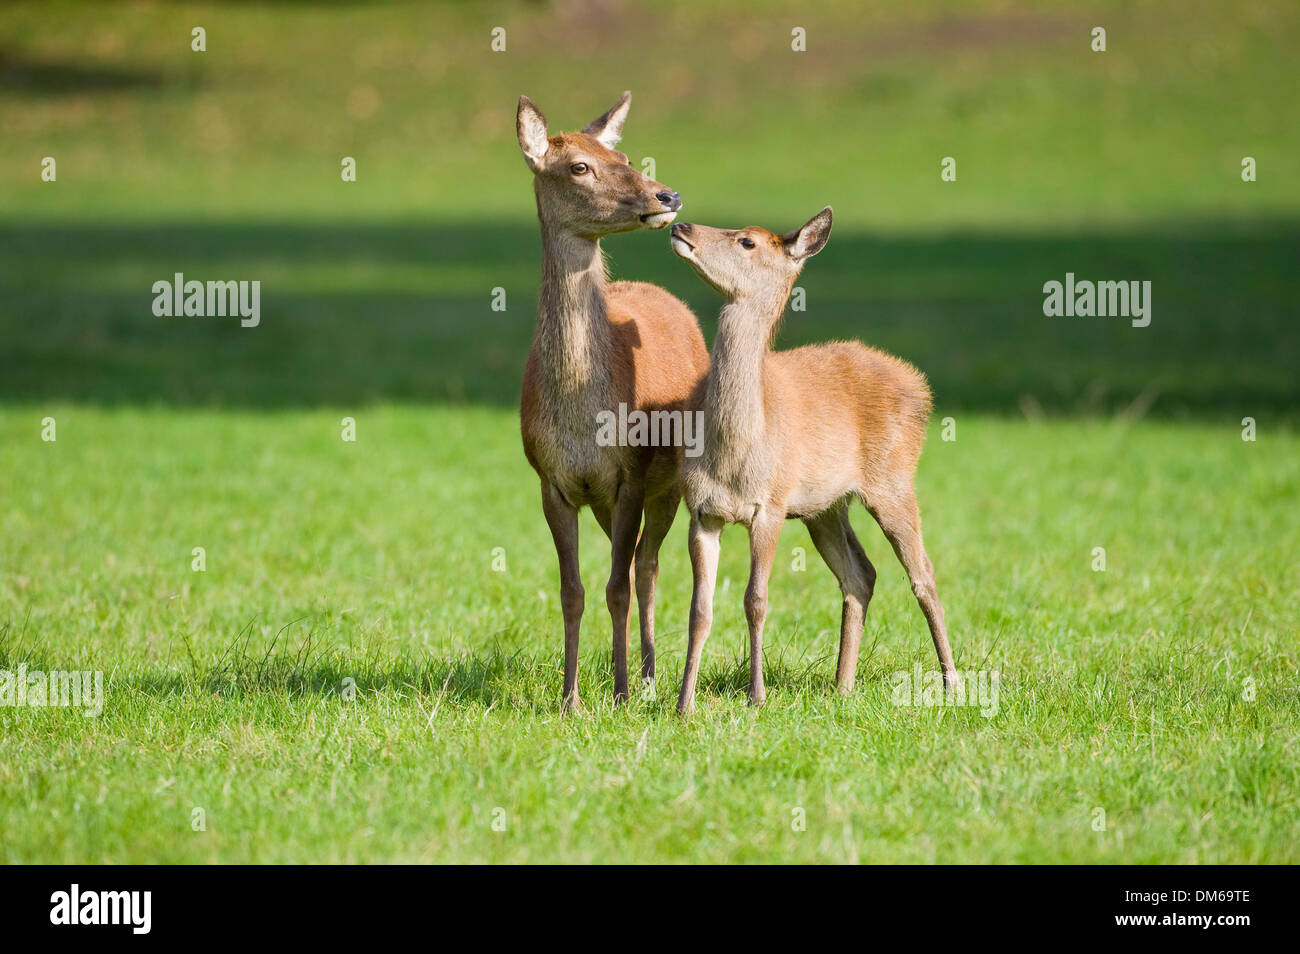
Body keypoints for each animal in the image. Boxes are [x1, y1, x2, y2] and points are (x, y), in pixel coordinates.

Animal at [514, 93, 712, 712]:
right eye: (578, 166)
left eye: (623, 155)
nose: (666, 196)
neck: (584, 419)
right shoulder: (552, 481)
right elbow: (572, 590)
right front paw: (569, 698)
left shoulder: (629, 472)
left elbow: (618, 586)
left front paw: (621, 692)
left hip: (667, 480)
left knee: (645, 566)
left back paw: (647, 676)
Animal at [670, 210, 956, 717]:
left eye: (747, 241)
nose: (682, 227)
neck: (735, 455)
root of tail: (920, 386)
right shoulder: (702, 512)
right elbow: (699, 610)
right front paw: (683, 704)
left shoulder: (771, 505)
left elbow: (756, 599)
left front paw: (757, 697)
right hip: (825, 507)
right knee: (861, 574)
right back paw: (843, 685)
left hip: (894, 479)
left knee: (923, 575)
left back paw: (952, 684)